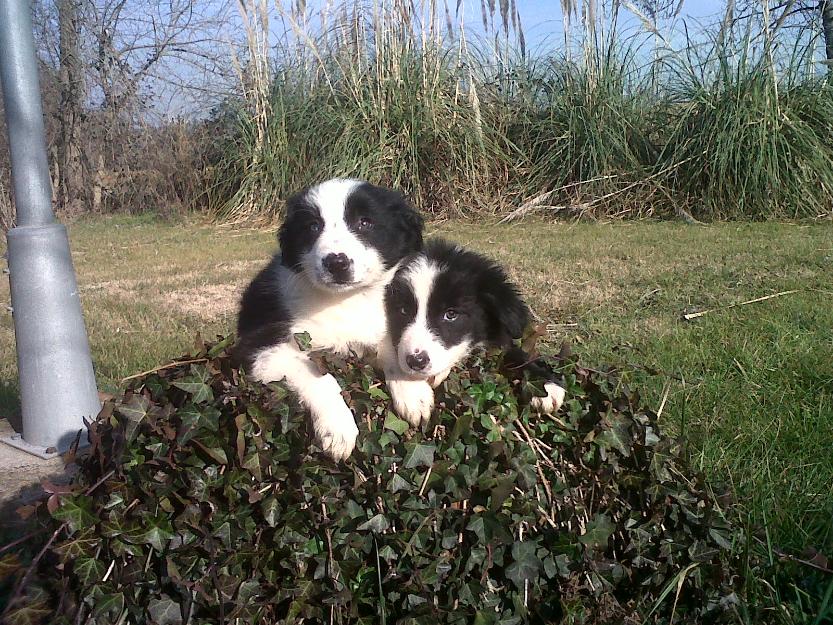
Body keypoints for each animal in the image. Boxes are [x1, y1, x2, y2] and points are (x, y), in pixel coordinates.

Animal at [234, 178, 422, 460]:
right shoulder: (262, 350)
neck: (343, 300)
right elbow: (318, 374)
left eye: (364, 222)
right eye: (313, 227)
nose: (336, 263)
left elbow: (393, 347)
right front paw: (338, 430)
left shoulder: (376, 326)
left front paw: (414, 391)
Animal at [378, 239, 564, 424]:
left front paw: (547, 385)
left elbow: (514, 353)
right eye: (403, 310)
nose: (416, 361)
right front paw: (411, 391)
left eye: (451, 314)